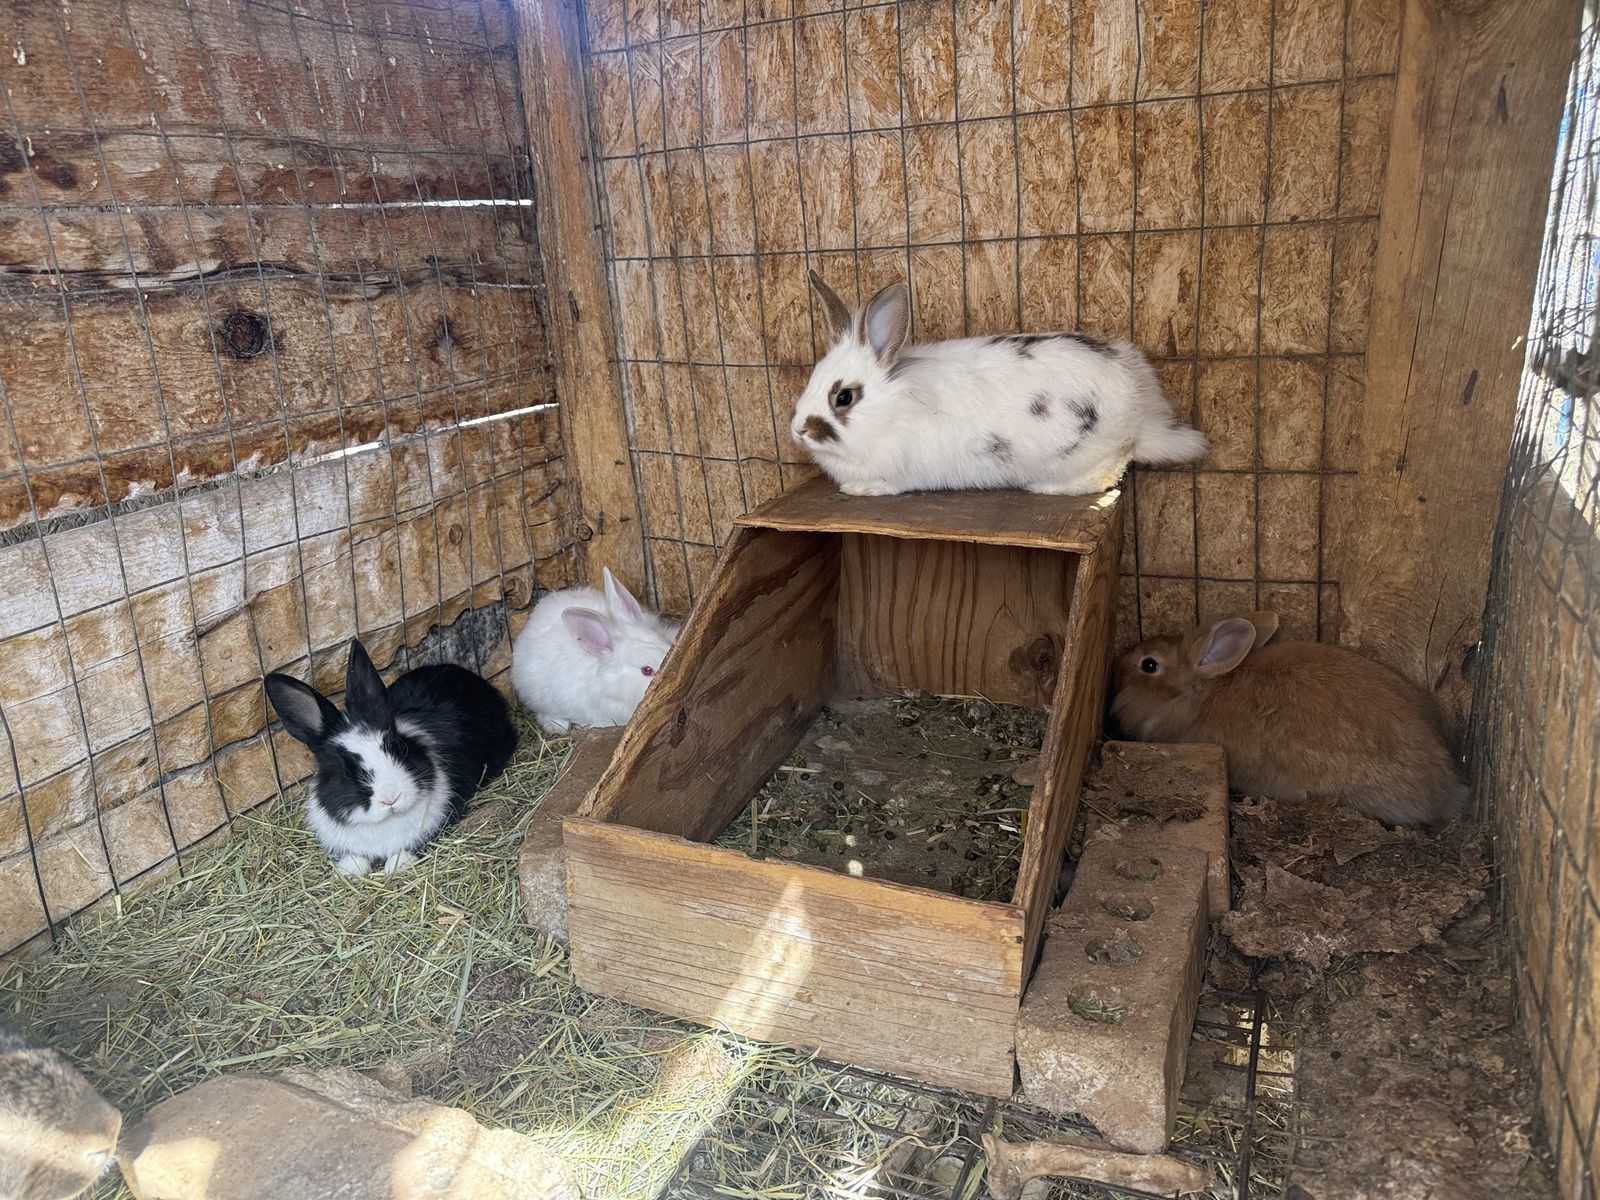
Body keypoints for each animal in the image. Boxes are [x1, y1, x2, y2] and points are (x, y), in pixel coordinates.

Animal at [264, 639, 518, 876]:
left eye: (399, 748)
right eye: (346, 771)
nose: (390, 798)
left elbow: (408, 847)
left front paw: (396, 865)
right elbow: (356, 857)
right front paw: (346, 871)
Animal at [788, 272, 1207, 497]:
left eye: (844, 397)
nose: (799, 431)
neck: (890, 411)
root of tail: (1142, 412)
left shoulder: (901, 471)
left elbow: (887, 485)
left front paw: (858, 490)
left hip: (1091, 450)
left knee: (1104, 477)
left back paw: (1045, 489)